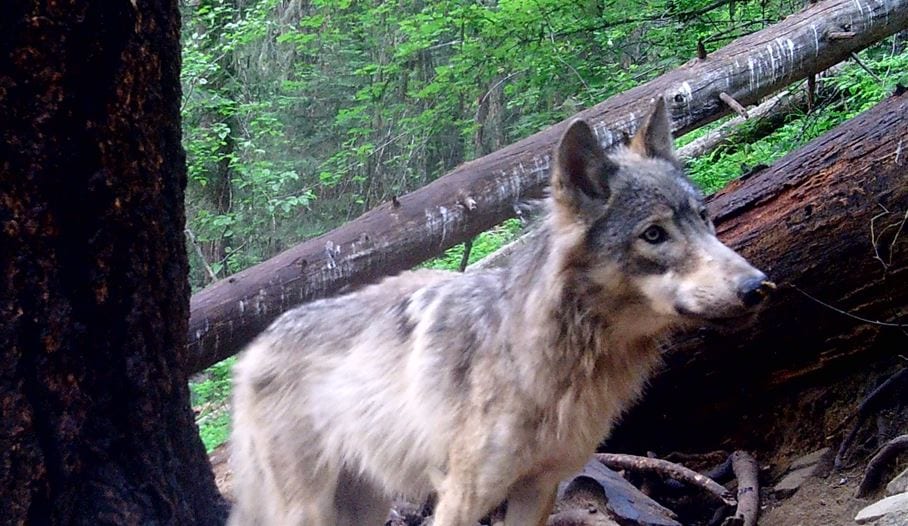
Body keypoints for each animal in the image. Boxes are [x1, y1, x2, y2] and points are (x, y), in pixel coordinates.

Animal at [227, 97, 773, 526]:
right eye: (654, 234)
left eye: (703, 218)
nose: (758, 287)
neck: (557, 365)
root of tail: (256, 345)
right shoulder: (461, 496)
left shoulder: (540, 487)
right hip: (309, 509)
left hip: (364, 504)